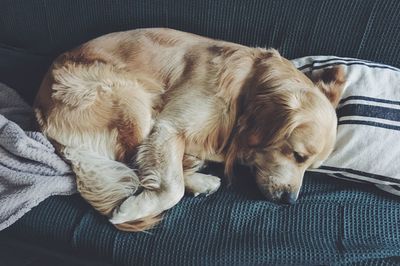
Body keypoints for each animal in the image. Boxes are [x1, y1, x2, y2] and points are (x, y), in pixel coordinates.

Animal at [34, 27, 346, 231]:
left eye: (311, 167)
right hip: (131, 98)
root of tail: (41, 109)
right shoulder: (168, 126)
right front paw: (130, 209)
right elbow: (172, 187)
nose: (290, 201)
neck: (245, 93)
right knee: (134, 164)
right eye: (297, 155)